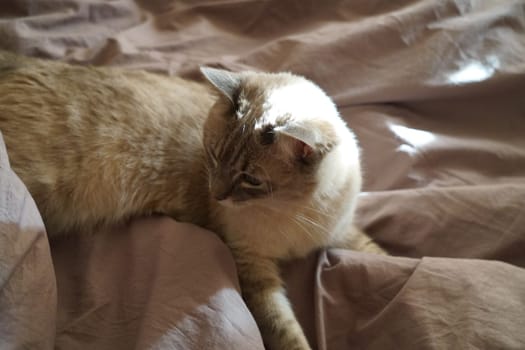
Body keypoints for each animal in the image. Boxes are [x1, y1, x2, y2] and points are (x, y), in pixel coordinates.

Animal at [0, 51, 384, 350]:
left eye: (251, 180)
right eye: (212, 156)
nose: (217, 194)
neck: (292, 210)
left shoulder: (341, 231)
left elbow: (378, 254)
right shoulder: (253, 266)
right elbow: (286, 331)